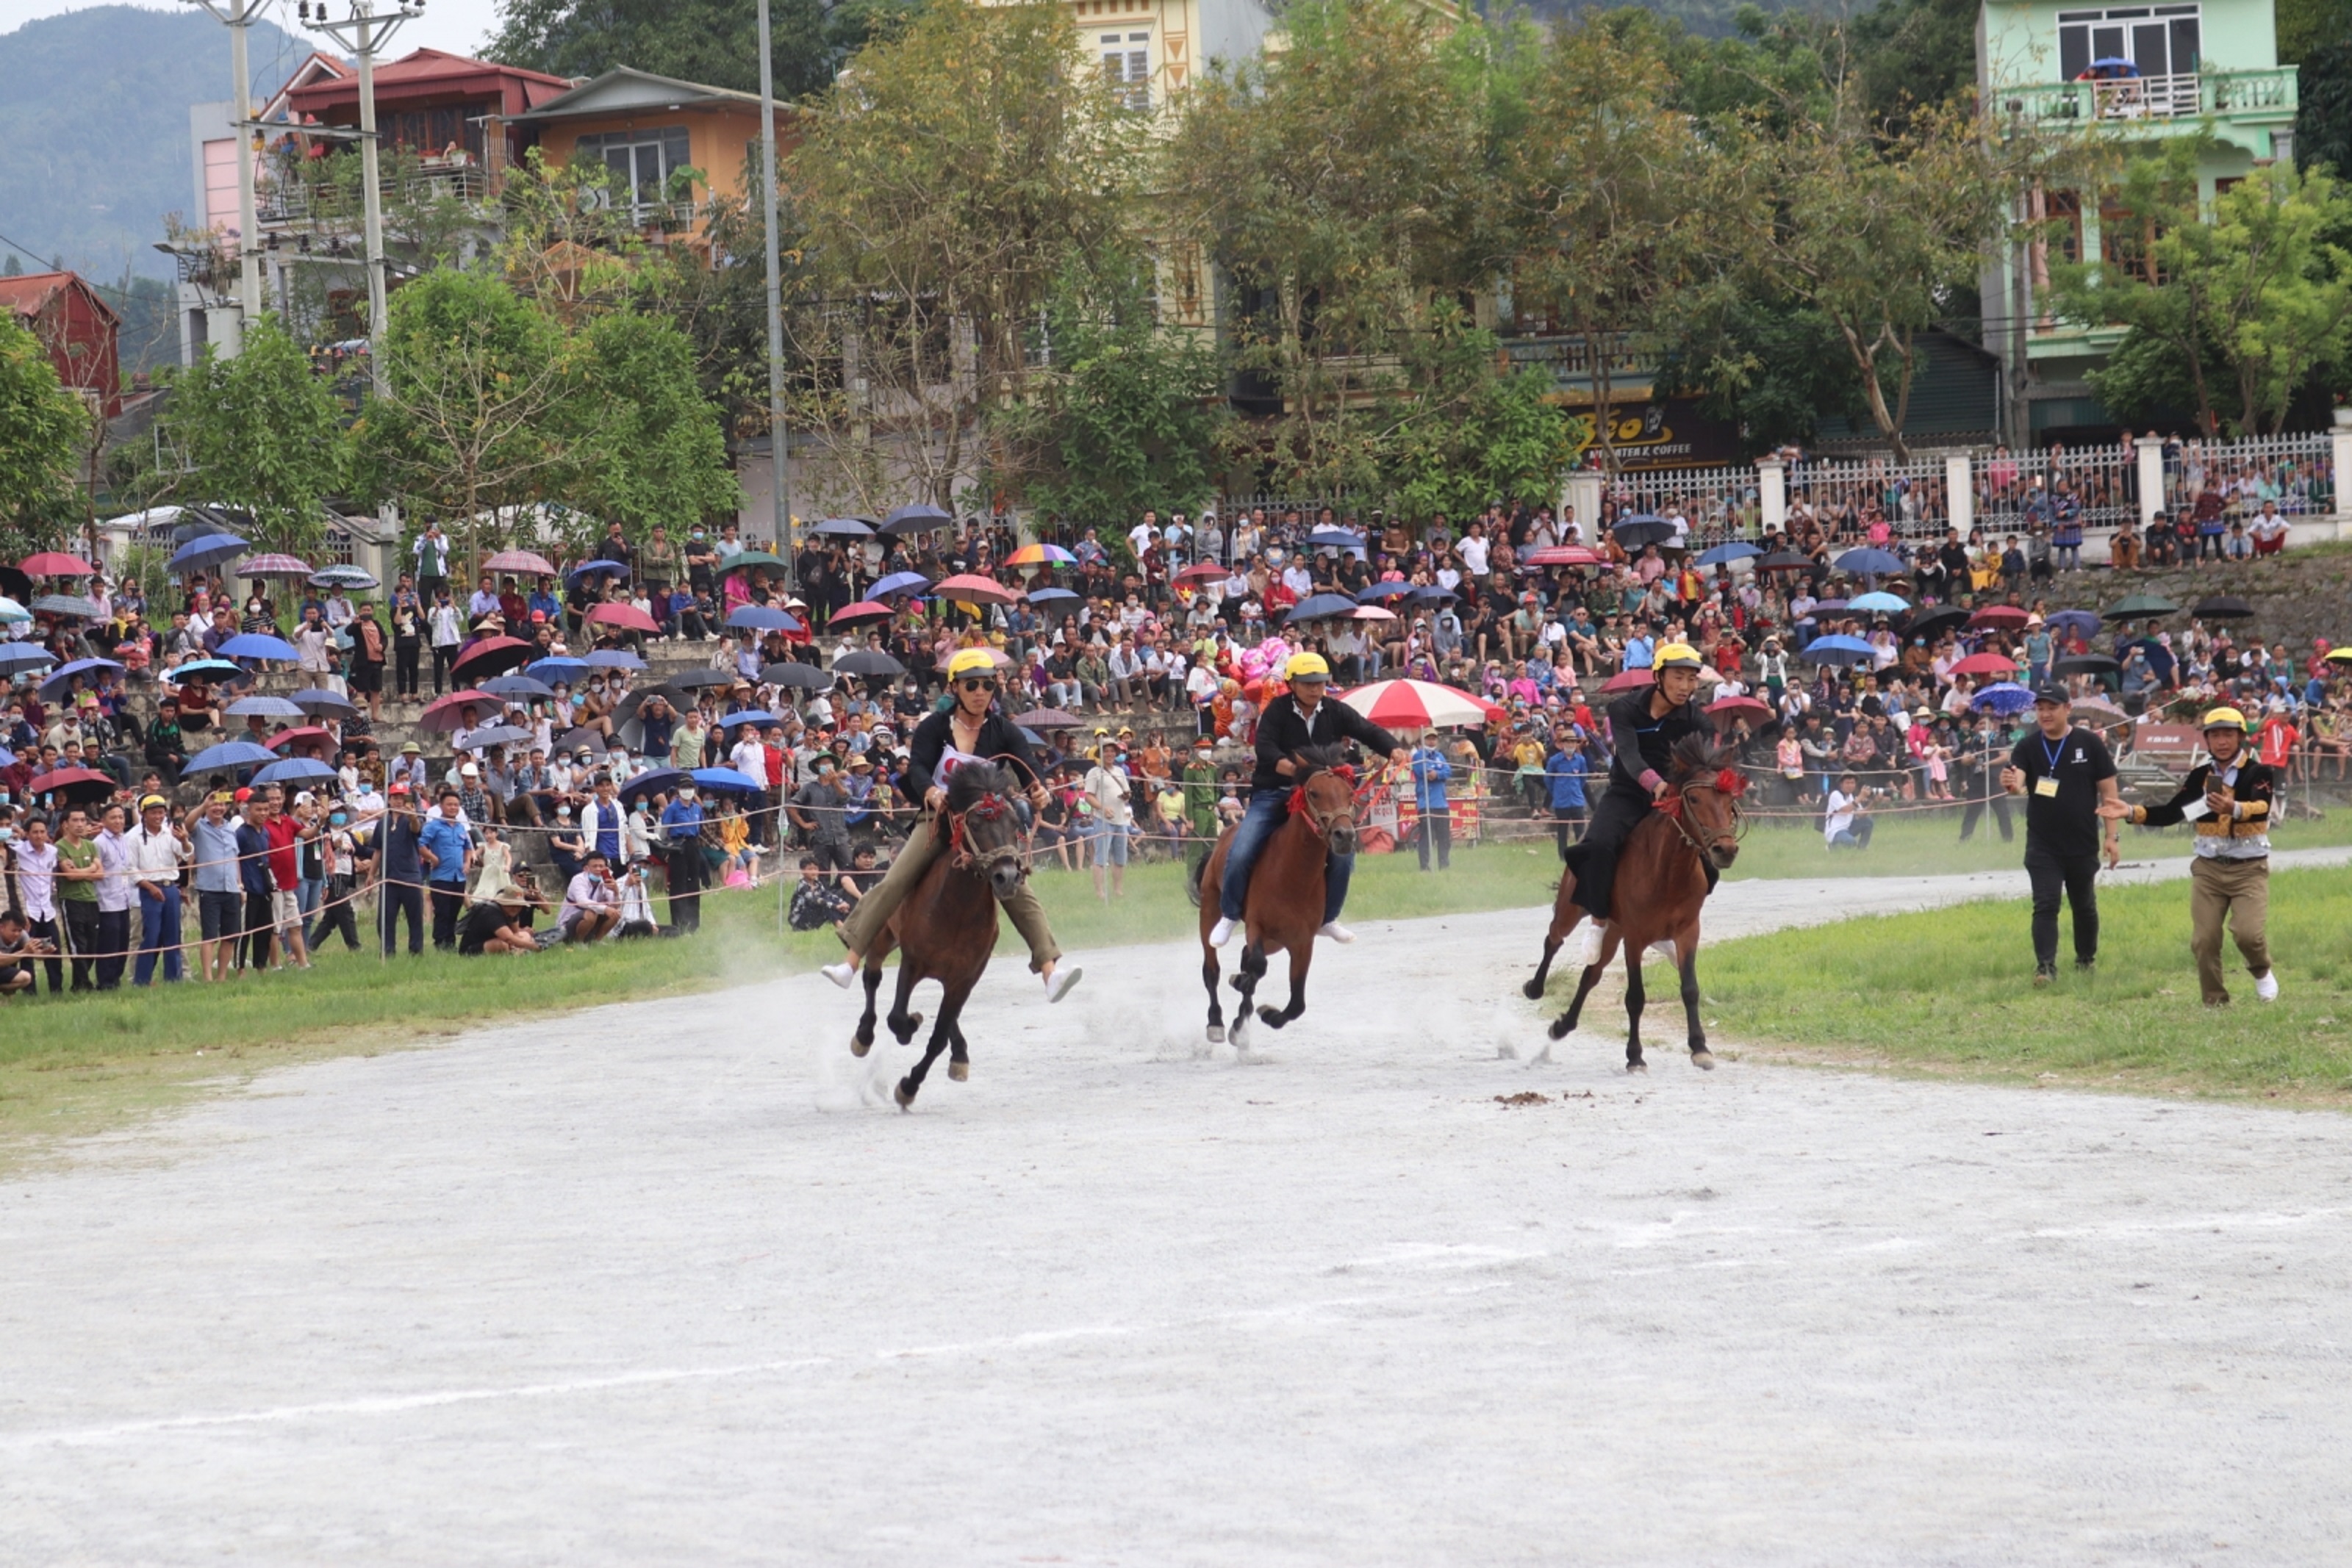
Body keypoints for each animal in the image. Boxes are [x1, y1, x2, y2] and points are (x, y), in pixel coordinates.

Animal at [851, 761, 1025, 1110]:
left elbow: (939, 1037)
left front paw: (909, 1086)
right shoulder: (912, 962)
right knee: (872, 976)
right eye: (975, 823)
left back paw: (959, 1054)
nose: (1008, 876)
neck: (957, 909)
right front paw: (909, 1026)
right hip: (884, 934)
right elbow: (897, 1018)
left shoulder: (966, 977)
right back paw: (864, 1035)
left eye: (1015, 823)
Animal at [1194, 752, 1364, 1053]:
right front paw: (1241, 985)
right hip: (1211, 911)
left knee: (1244, 960)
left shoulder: (1302, 943)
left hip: (1276, 940)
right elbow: (1256, 966)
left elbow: (1297, 1003)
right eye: (1314, 792)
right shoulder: (1256, 926)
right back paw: (1216, 1022)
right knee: (1212, 970)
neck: (1292, 875)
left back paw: (1240, 1020)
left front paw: (1267, 1014)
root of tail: (1223, 838)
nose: (1344, 835)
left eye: (1349, 793)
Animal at [1524, 733, 1749, 1071]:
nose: (1725, 850)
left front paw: (1700, 1047)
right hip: (1573, 907)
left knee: (1591, 975)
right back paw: (1535, 988)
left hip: (1614, 930)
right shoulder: (1635, 937)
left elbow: (1690, 989)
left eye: (1728, 801)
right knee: (1553, 939)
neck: (1668, 871)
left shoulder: (1687, 932)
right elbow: (1635, 997)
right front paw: (1635, 1056)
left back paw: (1563, 1025)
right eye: (1695, 799)